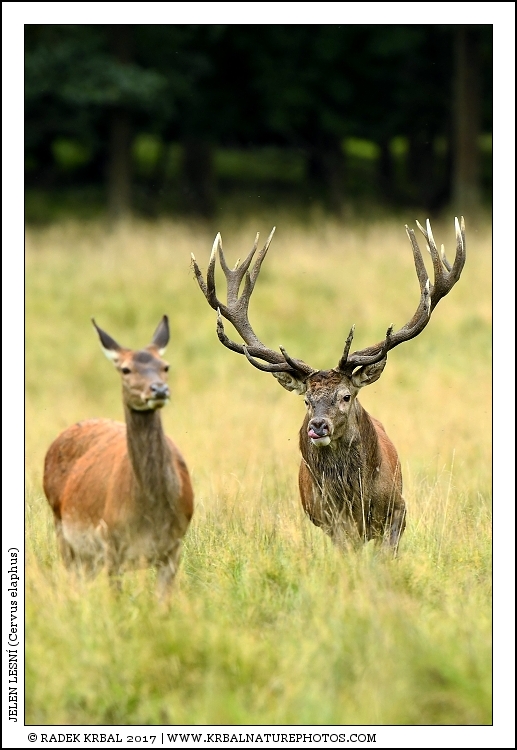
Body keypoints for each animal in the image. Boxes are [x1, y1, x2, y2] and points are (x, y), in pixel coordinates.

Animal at [43, 316, 194, 599]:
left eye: (165, 366)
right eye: (125, 369)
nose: (159, 389)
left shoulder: (175, 546)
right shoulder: (110, 542)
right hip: (63, 531)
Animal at [191, 218, 466, 553]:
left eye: (346, 396)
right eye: (307, 400)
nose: (318, 426)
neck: (355, 498)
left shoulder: (399, 509)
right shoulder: (332, 522)